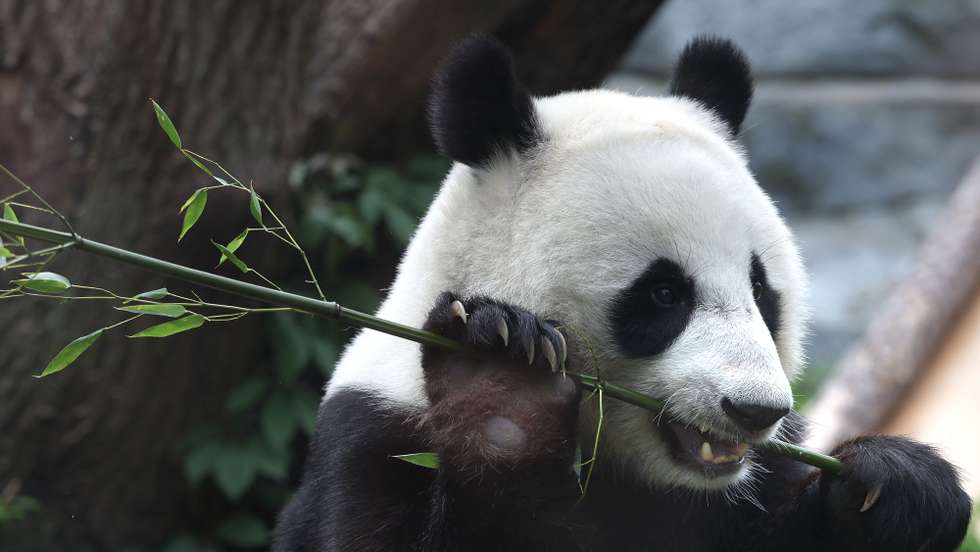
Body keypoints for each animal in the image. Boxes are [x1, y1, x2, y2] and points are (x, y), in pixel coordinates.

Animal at [273, 35, 971, 551]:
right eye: (663, 295)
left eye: (761, 289)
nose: (755, 410)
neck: (623, 468)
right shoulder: (374, 435)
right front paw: (502, 387)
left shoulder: (750, 485)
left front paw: (899, 491)